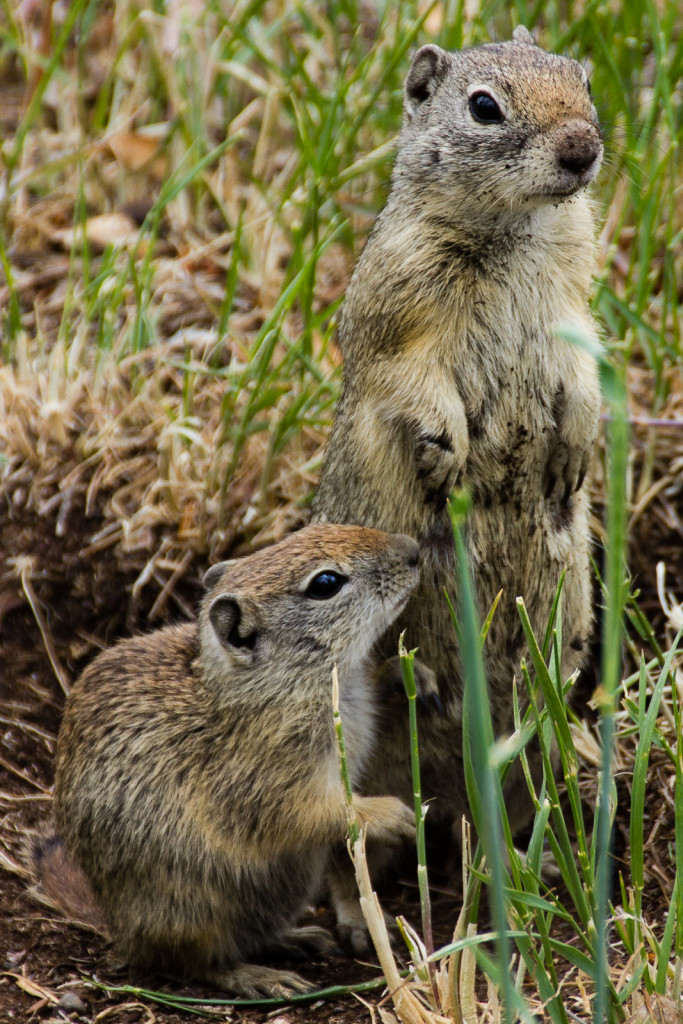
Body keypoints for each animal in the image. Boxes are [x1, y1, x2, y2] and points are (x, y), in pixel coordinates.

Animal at [31, 524, 421, 995]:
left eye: (310, 528)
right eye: (325, 583)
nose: (414, 550)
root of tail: (120, 930)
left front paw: (406, 674)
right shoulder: (273, 785)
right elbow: (323, 812)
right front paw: (393, 815)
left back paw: (294, 939)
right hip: (192, 912)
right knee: (192, 964)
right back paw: (259, 977)